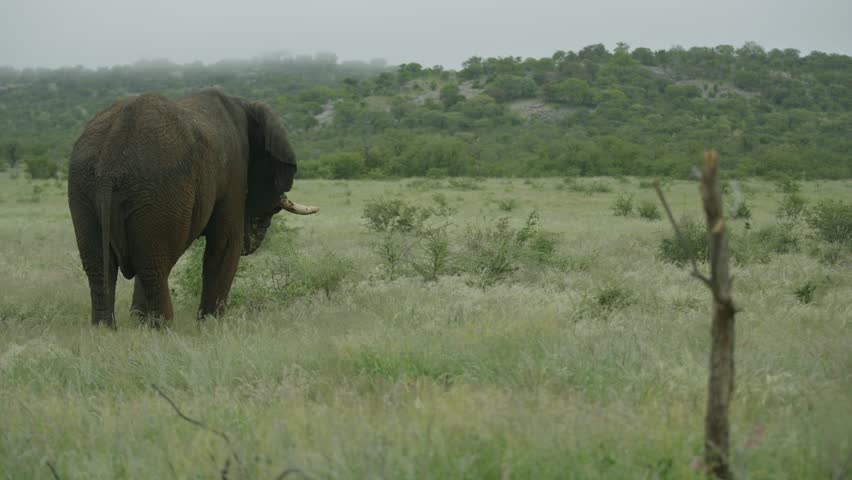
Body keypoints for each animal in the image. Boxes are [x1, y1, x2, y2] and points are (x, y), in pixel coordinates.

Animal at [68, 89, 318, 328]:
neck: (245, 105)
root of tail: (111, 154)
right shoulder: (234, 173)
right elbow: (226, 245)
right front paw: (211, 326)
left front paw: (138, 320)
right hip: (158, 191)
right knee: (153, 266)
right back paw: (163, 328)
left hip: (83, 188)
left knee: (100, 267)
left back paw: (106, 329)